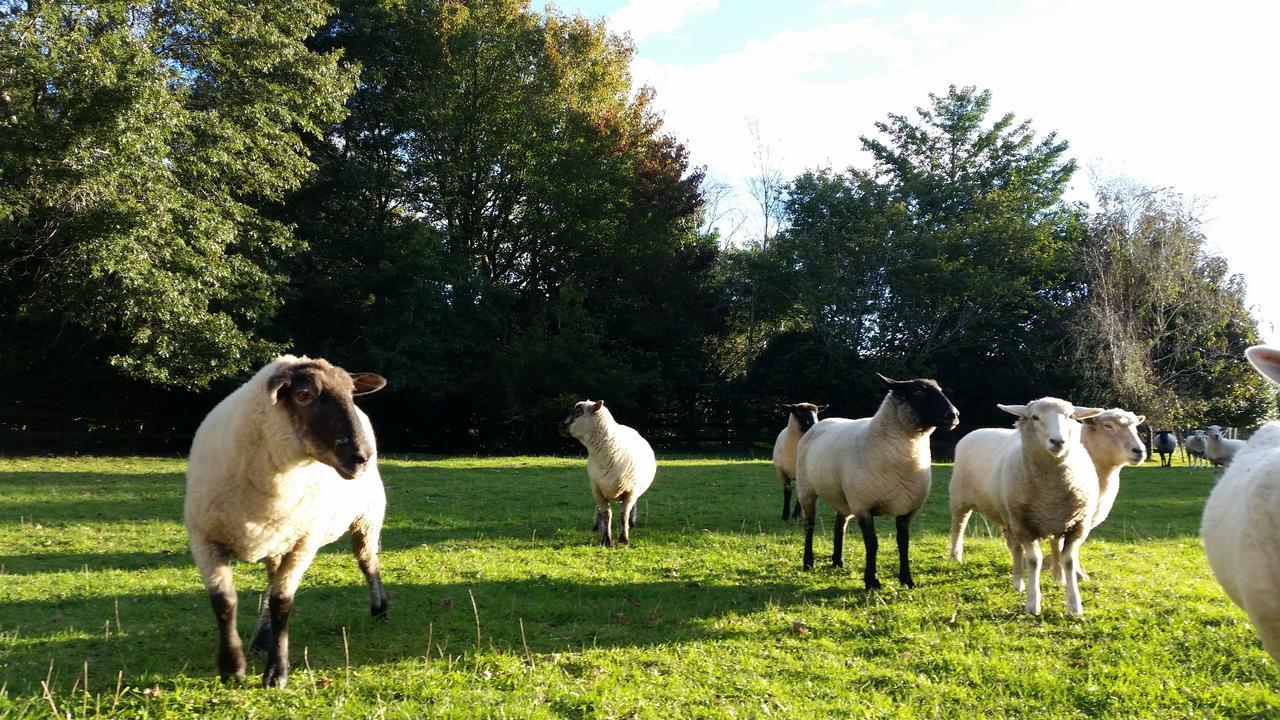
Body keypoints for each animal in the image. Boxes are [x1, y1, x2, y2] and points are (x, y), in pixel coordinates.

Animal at [183, 356, 386, 686]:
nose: (362, 456)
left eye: (351, 394)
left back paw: (380, 608)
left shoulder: (304, 542)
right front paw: (232, 668)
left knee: (369, 563)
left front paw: (276, 673)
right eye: (304, 395)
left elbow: (282, 602)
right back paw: (262, 637)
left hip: (367, 518)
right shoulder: (204, 539)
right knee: (270, 579)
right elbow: (224, 602)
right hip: (277, 538)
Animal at [563, 397, 660, 543]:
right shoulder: (597, 490)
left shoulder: (630, 491)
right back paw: (596, 526)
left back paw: (631, 523)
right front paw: (606, 540)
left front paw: (624, 539)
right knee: (598, 510)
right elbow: (606, 514)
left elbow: (623, 514)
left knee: (631, 508)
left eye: (579, 412)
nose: (560, 426)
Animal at [793, 371, 957, 586]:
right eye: (919, 392)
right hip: (806, 489)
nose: (954, 415)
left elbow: (903, 543)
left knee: (839, 526)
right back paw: (808, 563)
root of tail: (821, 423)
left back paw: (838, 561)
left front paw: (907, 579)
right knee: (809, 526)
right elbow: (872, 543)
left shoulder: (908, 508)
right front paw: (872, 581)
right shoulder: (863, 506)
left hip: (843, 496)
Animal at [952, 394, 1100, 614]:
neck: (1051, 491)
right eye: (1035, 417)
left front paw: (1074, 604)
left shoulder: (1077, 525)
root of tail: (978, 430)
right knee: (959, 526)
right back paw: (956, 557)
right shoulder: (1025, 525)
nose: (1058, 441)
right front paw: (1033, 602)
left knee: (1016, 548)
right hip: (962, 498)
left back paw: (1024, 581)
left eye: (1070, 416)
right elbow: (1033, 560)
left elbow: (1069, 561)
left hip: (1012, 518)